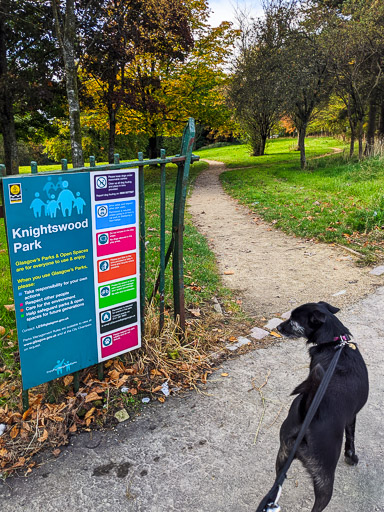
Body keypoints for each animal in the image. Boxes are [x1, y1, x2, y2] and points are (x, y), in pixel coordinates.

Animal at [274, 302, 368, 510]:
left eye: (293, 321)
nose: (277, 327)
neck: (335, 344)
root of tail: (307, 413)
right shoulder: (352, 417)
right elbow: (351, 440)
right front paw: (351, 458)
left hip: (282, 456)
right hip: (325, 478)